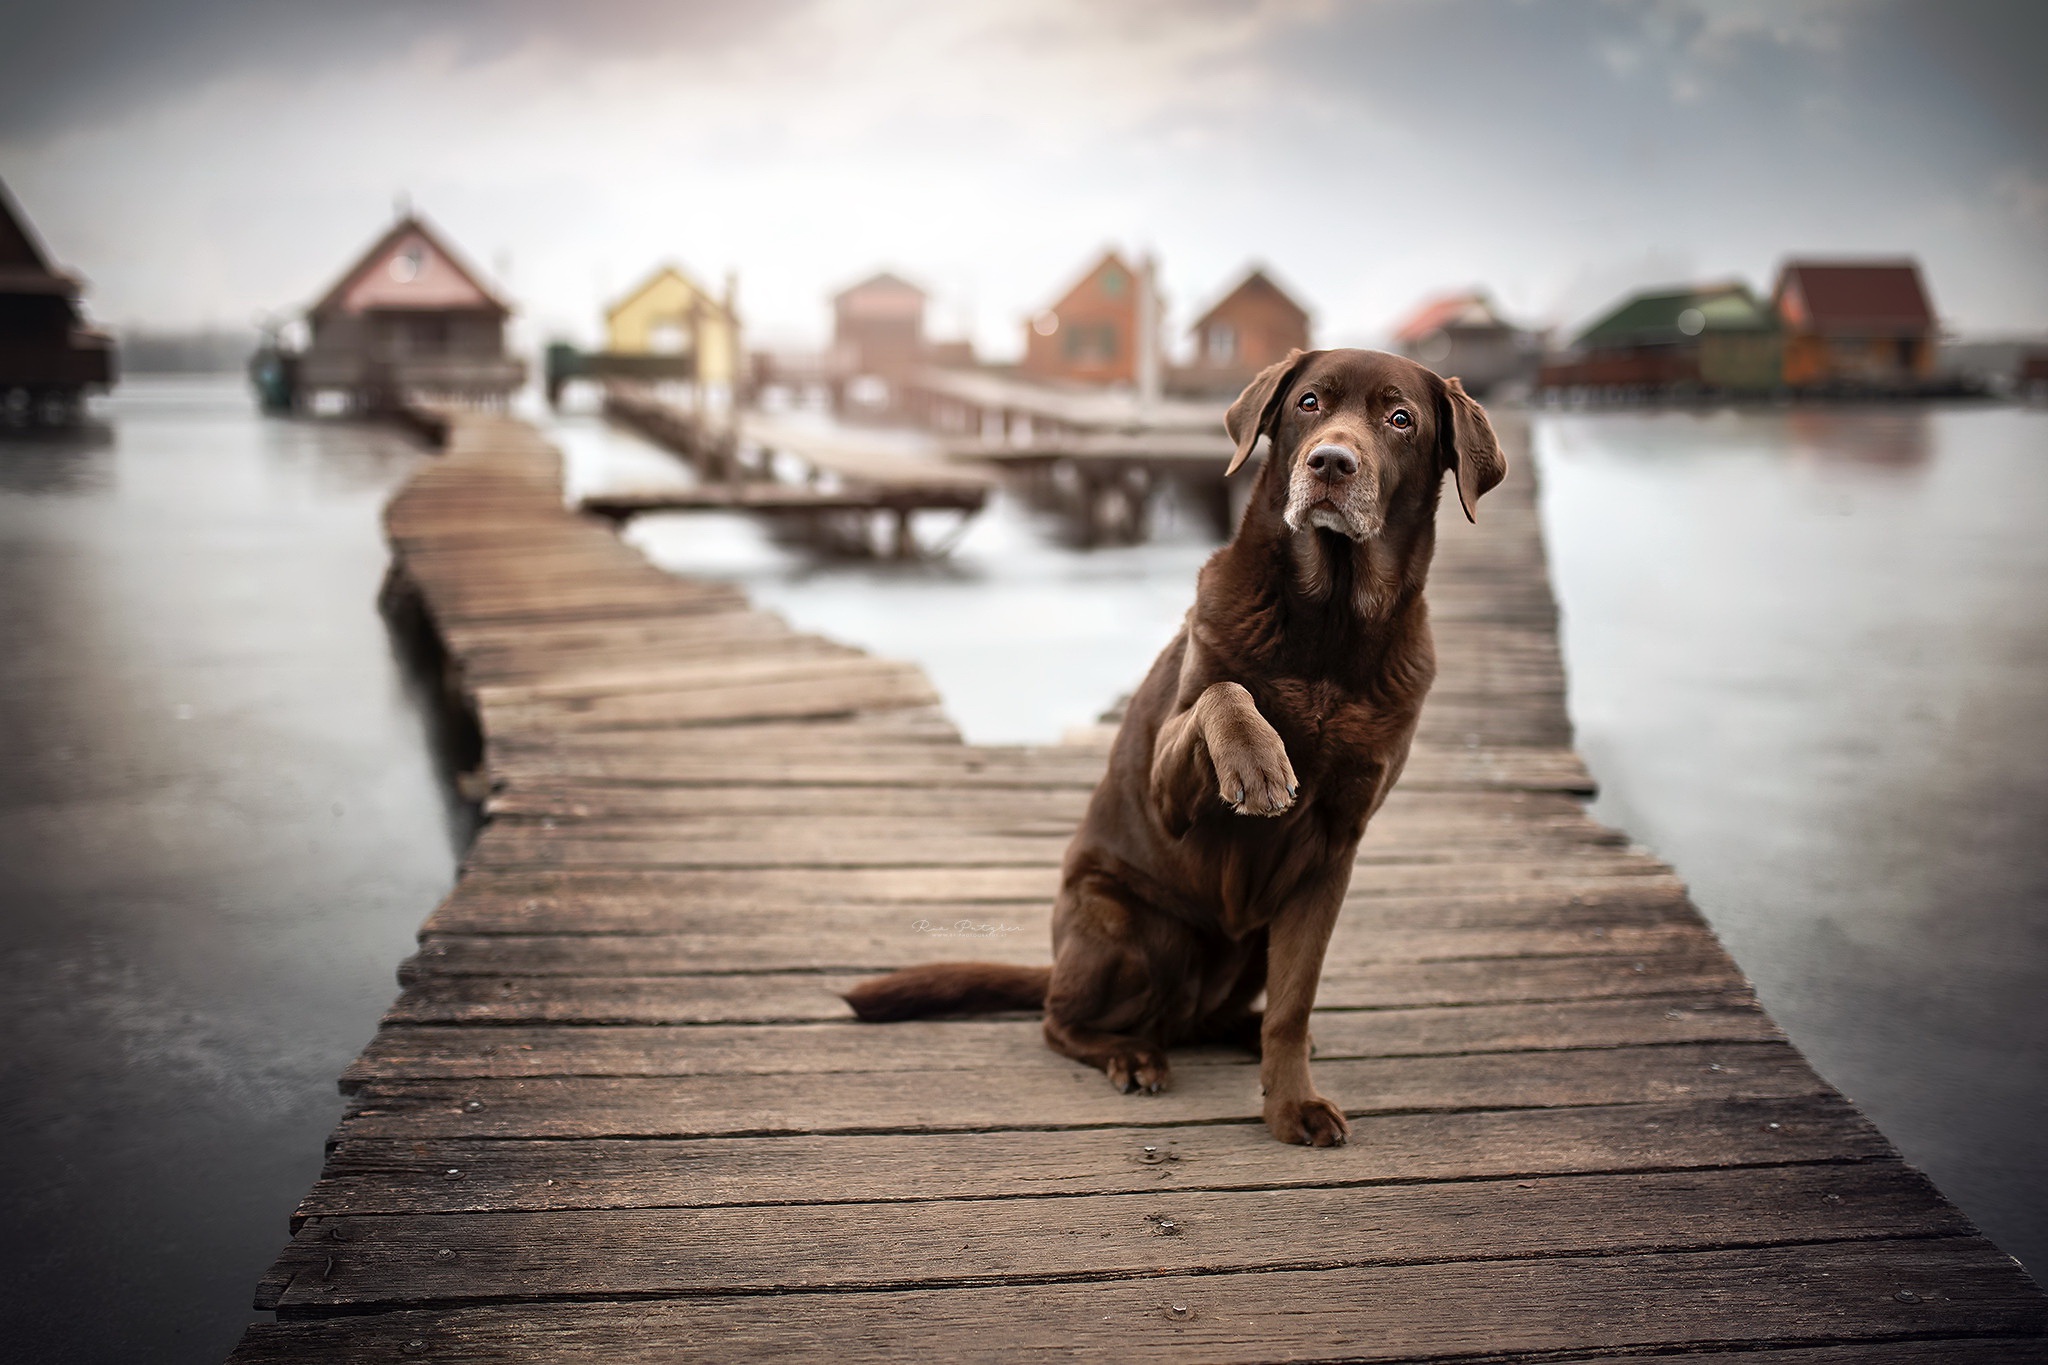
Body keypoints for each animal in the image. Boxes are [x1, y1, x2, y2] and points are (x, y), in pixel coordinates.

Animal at [847, 349, 1507, 1146]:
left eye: (1400, 418)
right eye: (1310, 403)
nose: (1329, 462)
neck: (1330, 621)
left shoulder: (1332, 855)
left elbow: (1295, 1002)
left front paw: (1291, 1104)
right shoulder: (1170, 785)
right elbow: (1223, 694)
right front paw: (1258, 761)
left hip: (1247, 943)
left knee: (1227, 1014)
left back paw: (1239, 1033)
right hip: (1133, 927)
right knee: (1058, 1022)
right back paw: (1129, 1052)